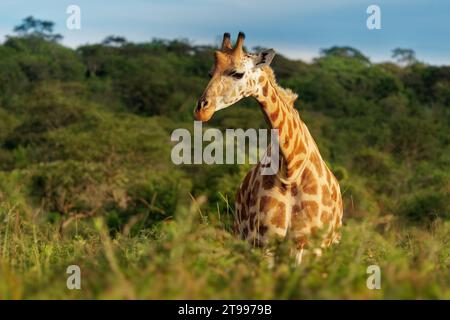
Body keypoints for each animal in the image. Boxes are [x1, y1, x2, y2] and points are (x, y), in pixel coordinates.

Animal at [193, 31, 344, 264]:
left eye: (237, 73)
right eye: (210, 73)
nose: (201, 110)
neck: (291, 167)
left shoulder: (307, 244)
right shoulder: (266, 240)